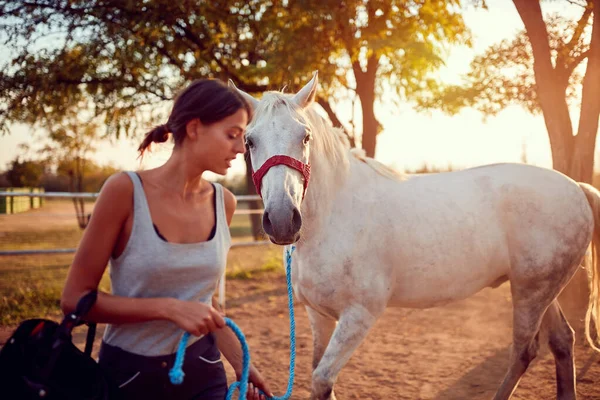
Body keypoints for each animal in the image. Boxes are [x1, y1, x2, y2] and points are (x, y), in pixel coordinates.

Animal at [230, 72, 600, 400]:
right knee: (562, 341)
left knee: (525, 350)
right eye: (250, 140)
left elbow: (321, 381)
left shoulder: (359, 316)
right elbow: (319, 375)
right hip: (540, 290)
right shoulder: (317, 315)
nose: (282, 220)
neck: (333, 217)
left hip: (530, 293)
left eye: (304, 137)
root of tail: (576, 187)